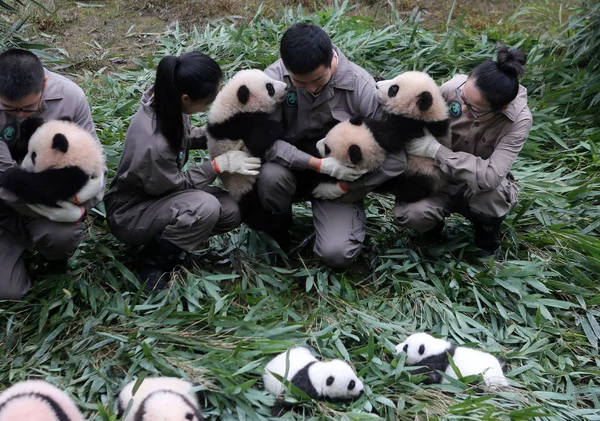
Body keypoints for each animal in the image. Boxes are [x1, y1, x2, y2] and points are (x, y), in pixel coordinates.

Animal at [207, 68, 288, 201]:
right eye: (269, 87)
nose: (286, 87)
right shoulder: (239, 125)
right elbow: (256, 142)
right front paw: (278, 127)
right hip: (244, 181)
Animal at [376, 71, 450, 203]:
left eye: (393, 89)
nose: (376, 86)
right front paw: (378, 77)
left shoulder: (414, 127)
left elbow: (388, 138)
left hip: (424, 170)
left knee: (412, 186)